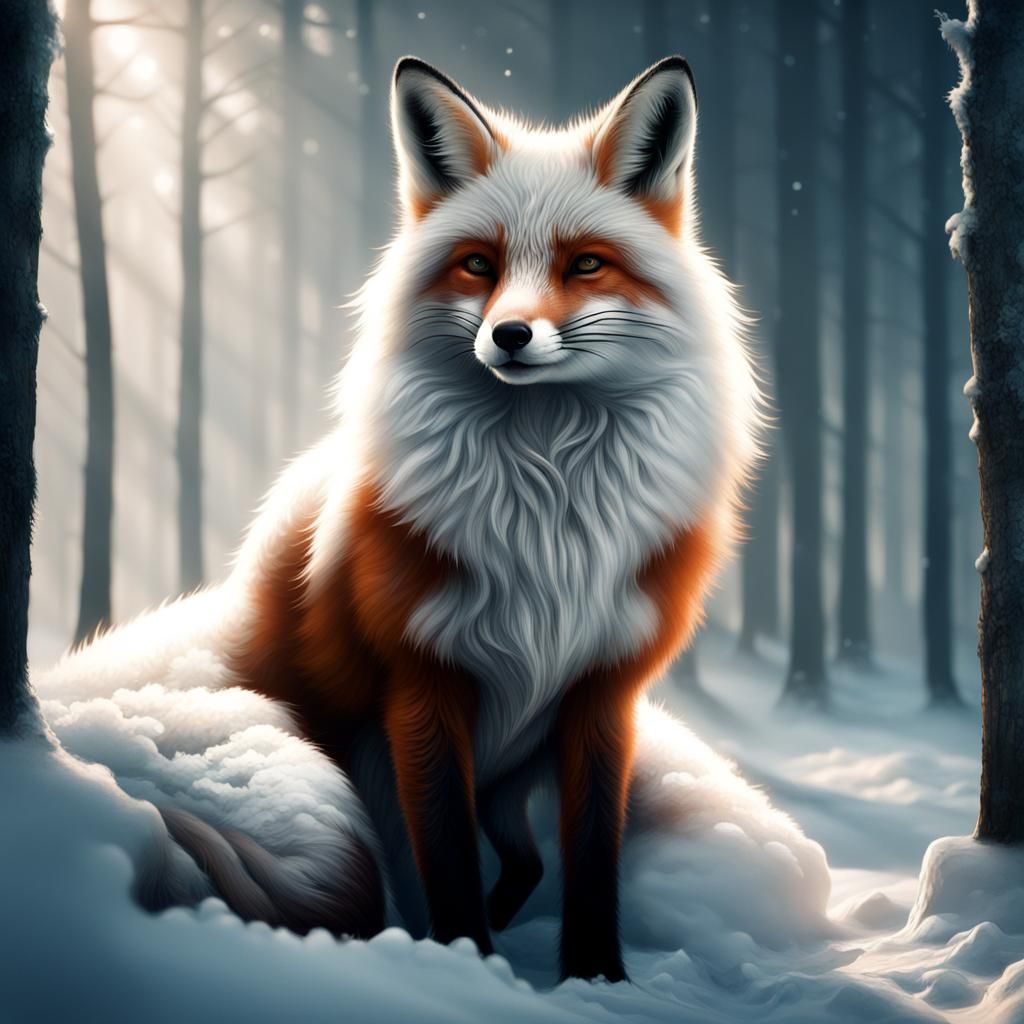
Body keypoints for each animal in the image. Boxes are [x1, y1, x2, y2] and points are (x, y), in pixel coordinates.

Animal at [40, 55, 758, 982]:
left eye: (587, 265)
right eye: (479, 264)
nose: (511, 335)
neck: (547, 517)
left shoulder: (601, 692)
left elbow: (592, 856)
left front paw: (597, 976)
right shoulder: (422, 687)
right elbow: (444, 862)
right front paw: (468, 965)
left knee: (524, 860)